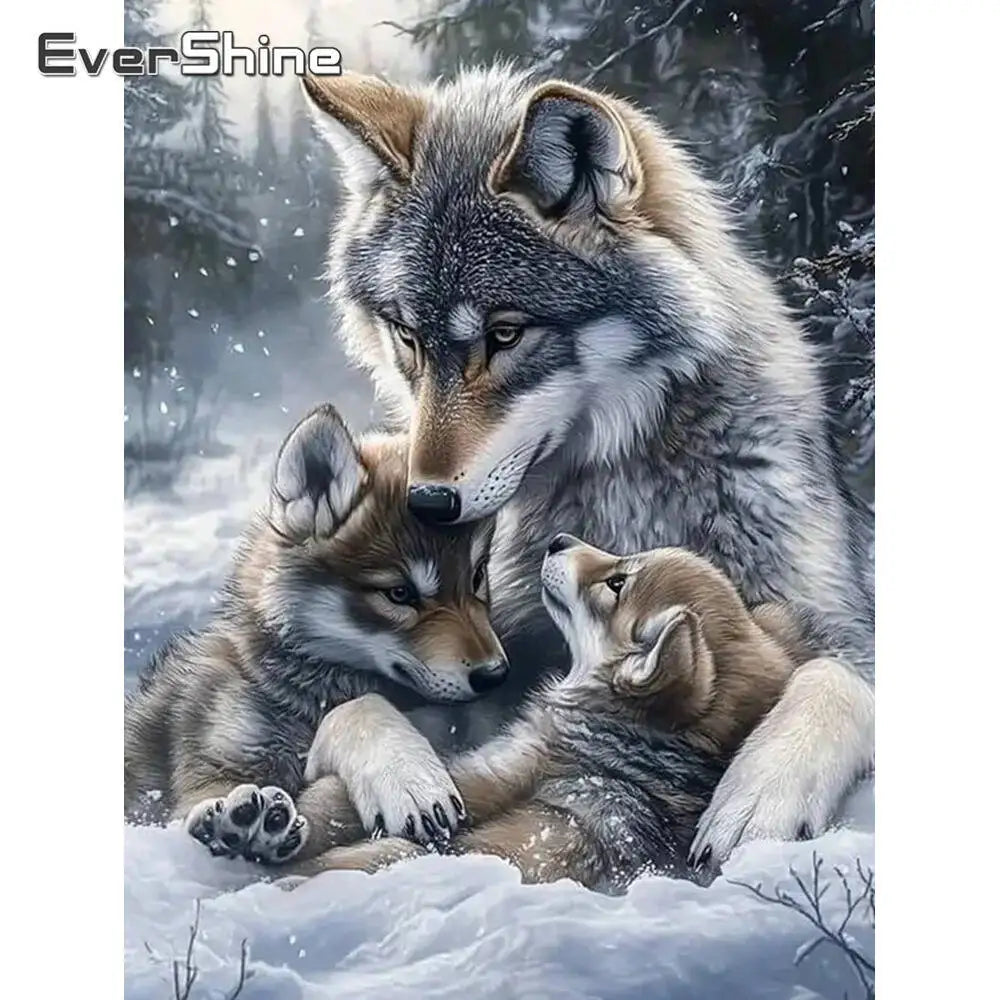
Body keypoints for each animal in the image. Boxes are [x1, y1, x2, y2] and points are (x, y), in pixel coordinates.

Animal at [124, 403, 504, 862]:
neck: (303, 698)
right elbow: (362, 707)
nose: (496, 675)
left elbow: (359, 709)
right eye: (400, 594)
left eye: (477, 577)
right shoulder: (204, 777)